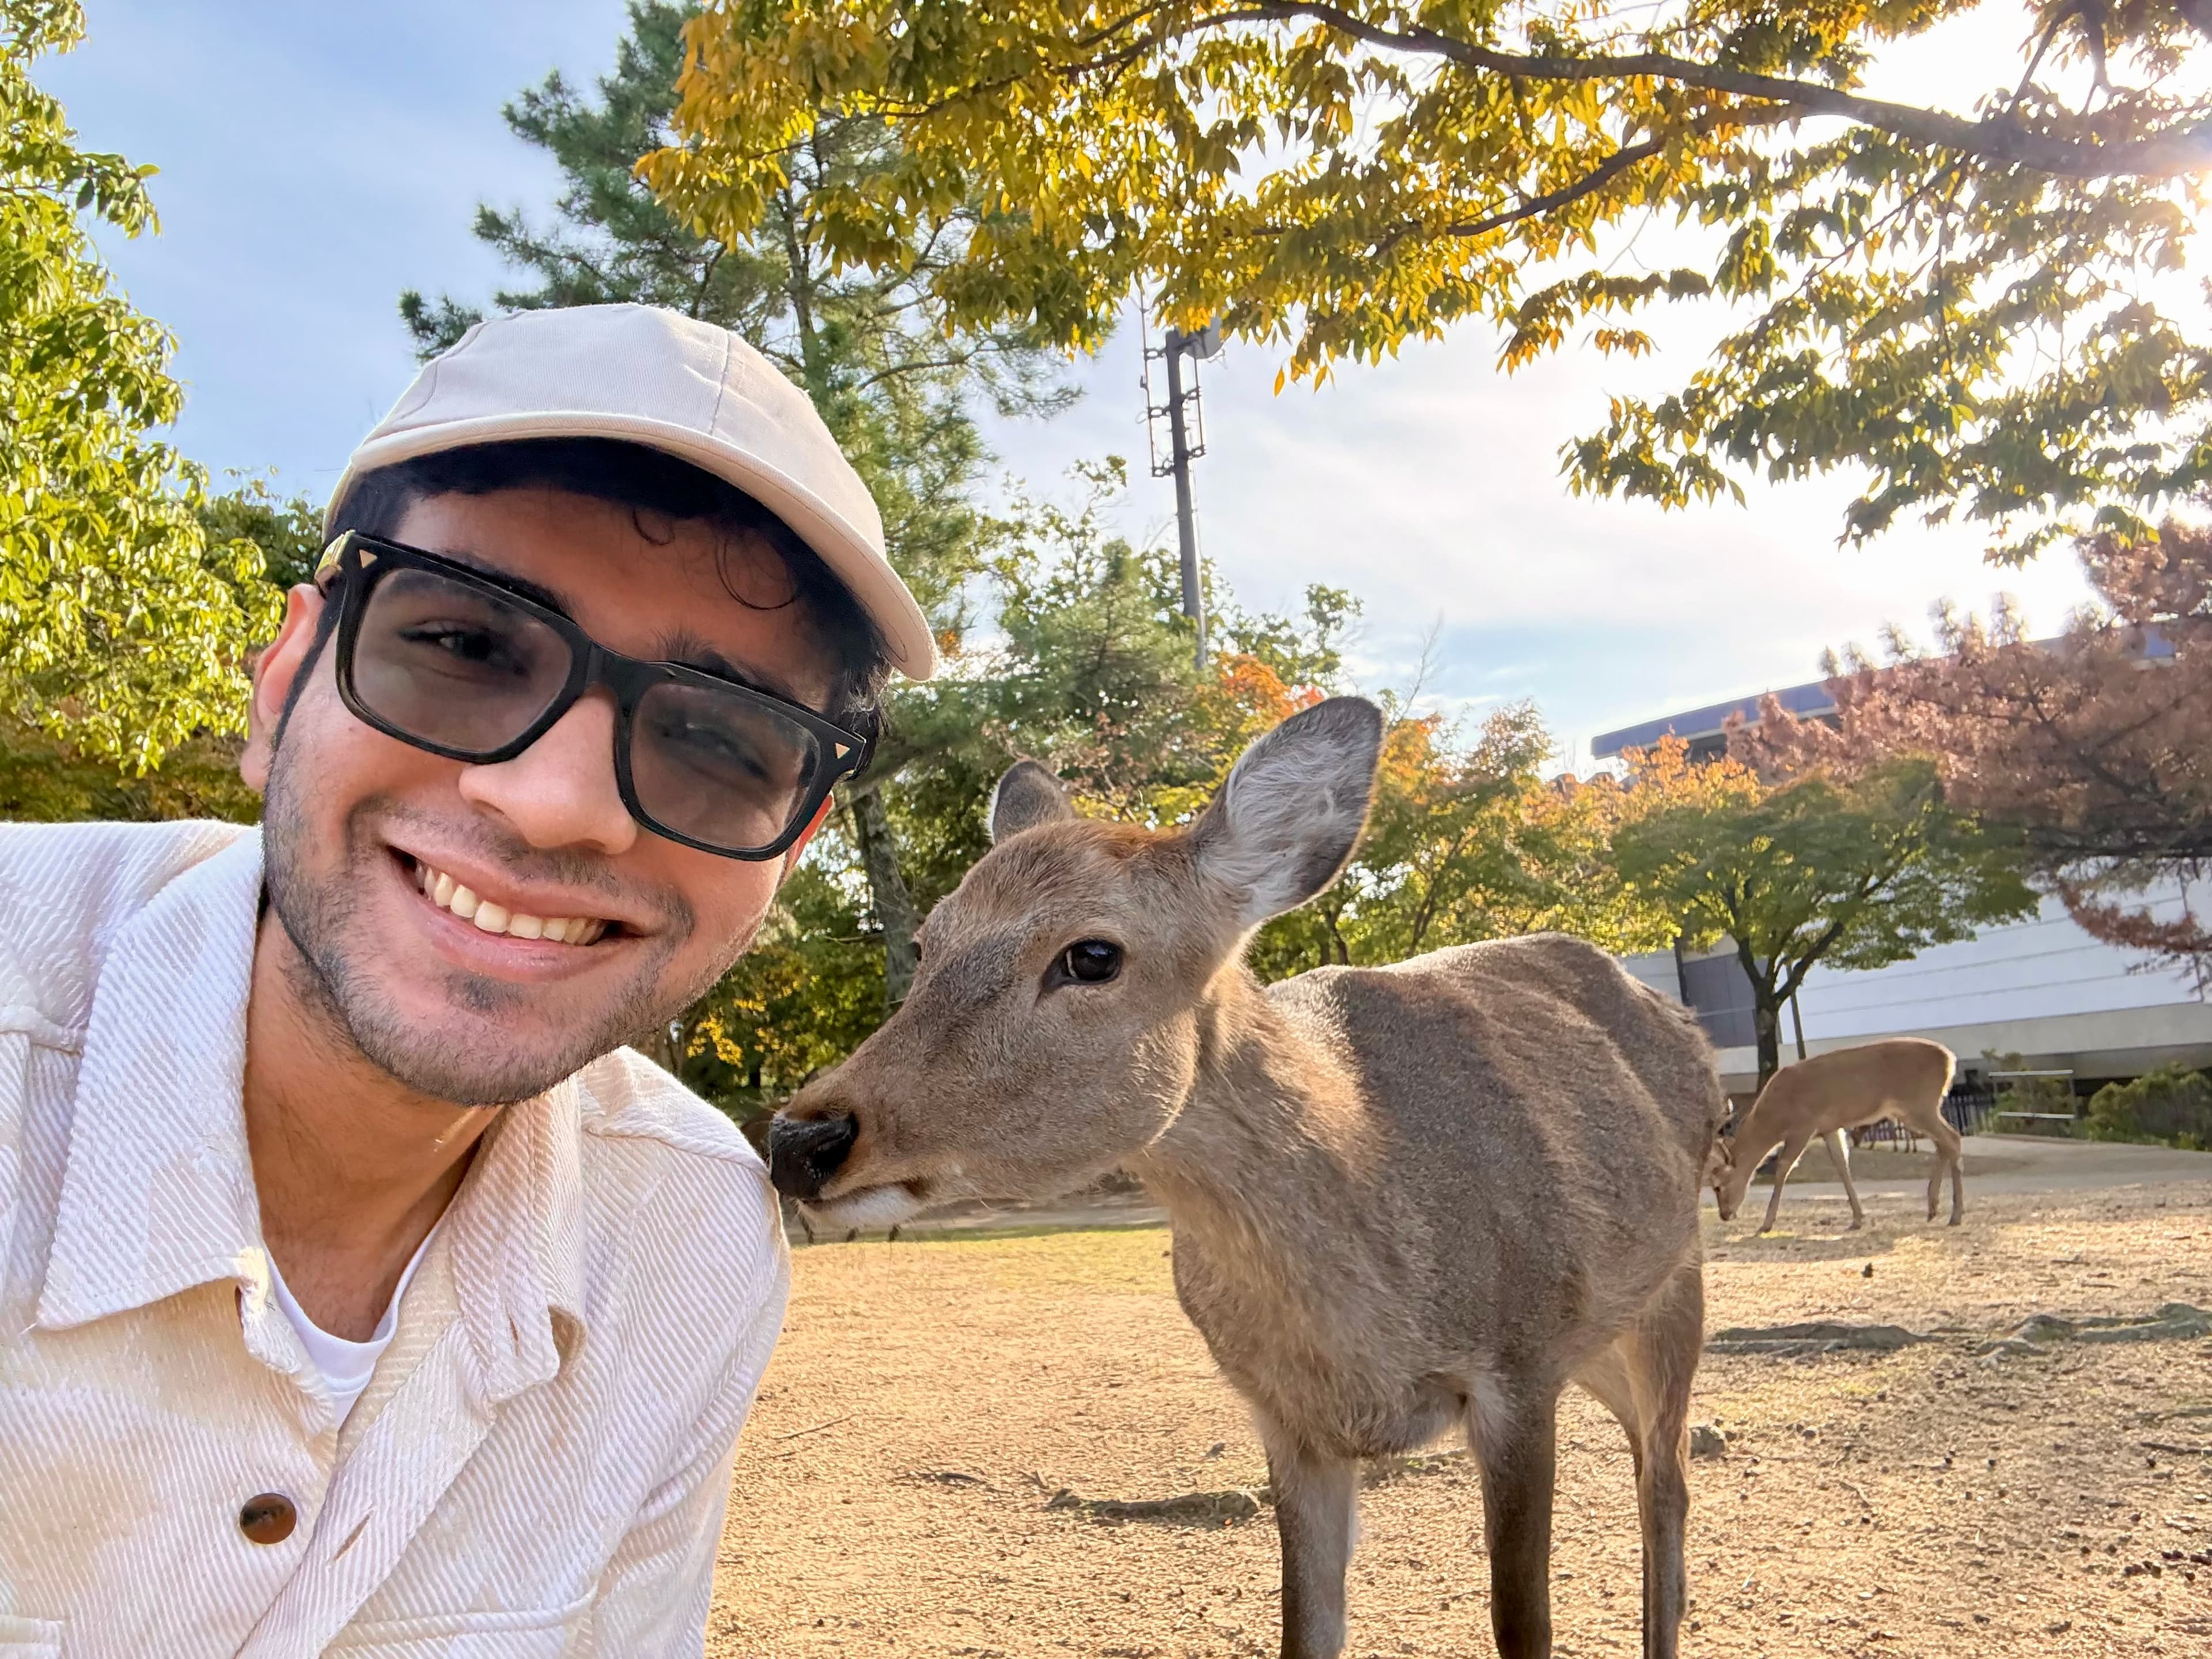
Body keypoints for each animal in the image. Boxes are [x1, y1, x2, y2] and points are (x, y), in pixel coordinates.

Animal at [767, 698, 1727, 1659]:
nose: (801, 1138)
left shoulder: (1520, 1366)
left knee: (1668, 1483)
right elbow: (1308, 1627)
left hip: (1673, 1285)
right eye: (927, 942)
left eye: (1092, 955)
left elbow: (1522, 1625)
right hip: (1599, 1339)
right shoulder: (1286, 1418)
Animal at [1707, 1037, 1963, 1235]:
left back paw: (1955, 1215)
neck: (1776, 1118)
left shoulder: (1804, 1125)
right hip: (1919, 1109)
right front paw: (1858, 1219)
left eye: (1717, 1186)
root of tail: (1950, 1060)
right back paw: (1933, 1209)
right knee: (1944, 1144)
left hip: (1919, 1104)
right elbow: (1841, 1165)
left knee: (1953, 1139)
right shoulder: (1829, 1127)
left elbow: (1783, 1167)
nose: (1725, 1214)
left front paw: (1766, 1225)